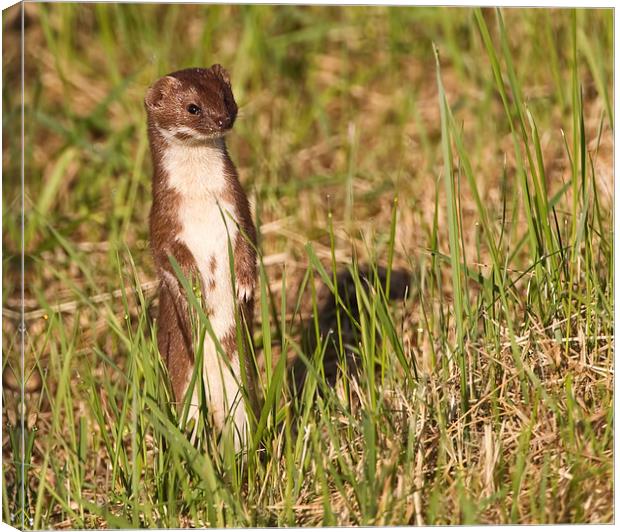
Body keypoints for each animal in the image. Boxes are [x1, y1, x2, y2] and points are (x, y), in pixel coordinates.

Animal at [145, 65, 256, 448]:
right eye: (192, 108)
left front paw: (245, 285)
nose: (223, 118)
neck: (202, 201)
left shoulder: (239, 211)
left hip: (241, 386)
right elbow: (167, 256)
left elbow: (247, 247)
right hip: (184, 386)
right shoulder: (162, 223)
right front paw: (193, 280)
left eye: (224, 95)